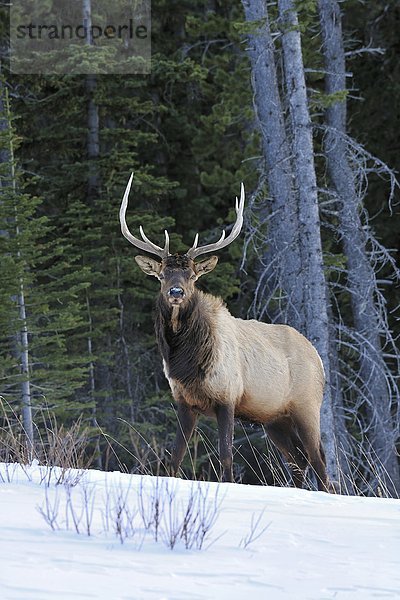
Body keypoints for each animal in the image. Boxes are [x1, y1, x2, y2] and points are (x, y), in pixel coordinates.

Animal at [120, 171, 330, 490]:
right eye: (162, 275)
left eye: (192, 275)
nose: (176, 292)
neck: (186, 363)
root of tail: (318, 357)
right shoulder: (184, 402)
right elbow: (174, 458)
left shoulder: (228, 397)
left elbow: (226, 457)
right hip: (274, 419)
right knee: (299, 460)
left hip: (308, 405)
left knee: (319, 460)